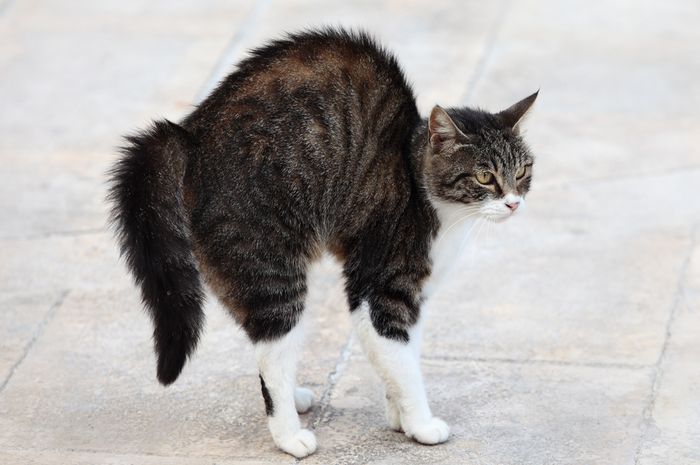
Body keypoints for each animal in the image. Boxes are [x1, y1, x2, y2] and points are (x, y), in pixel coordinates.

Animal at [108, 26, 536, 456]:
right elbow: (402, 364)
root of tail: (191, 133)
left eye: (522, 171)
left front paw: (398, 417)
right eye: (484, 177)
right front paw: (421, 423)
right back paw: (289, 434)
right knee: (273, 356)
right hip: (271, 270)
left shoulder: (416, 297)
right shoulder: (378, 287)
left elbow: (404, 357)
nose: (514, 203)